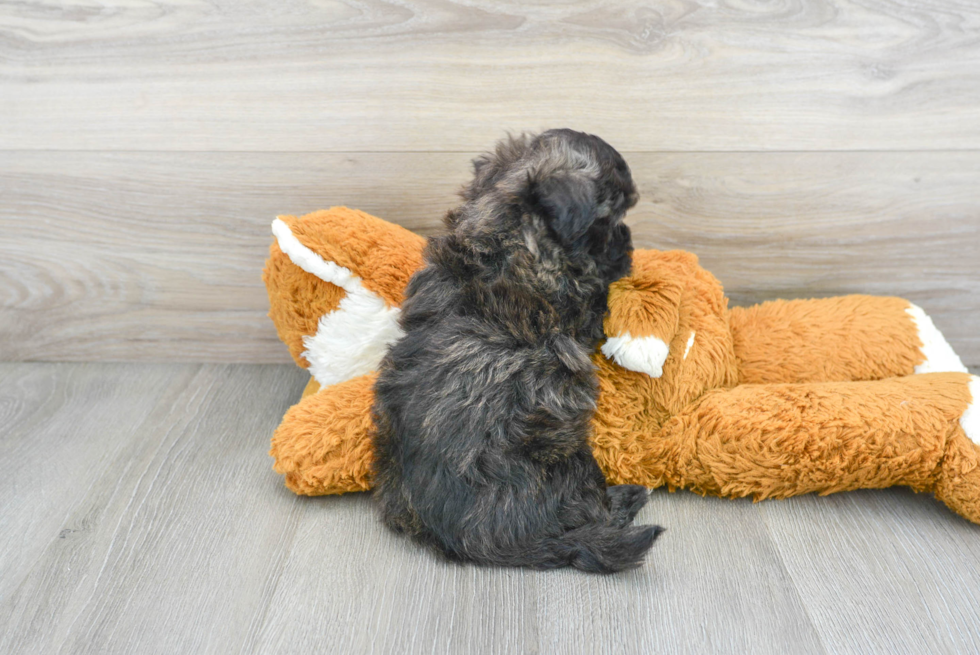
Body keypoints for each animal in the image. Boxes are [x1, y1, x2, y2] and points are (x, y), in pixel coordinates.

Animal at [372, 128, 664, 576]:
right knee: (590, 509)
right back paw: (626, 497)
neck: (500, 225)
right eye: (610, 221)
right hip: (566, 458)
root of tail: (474, 541)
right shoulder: (574, 303)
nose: (628, 242)